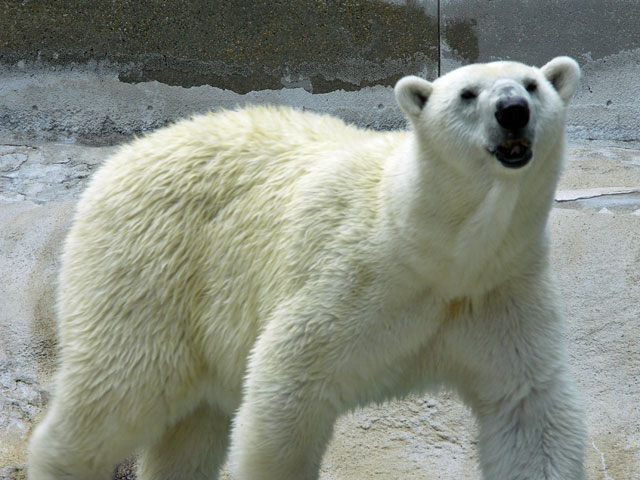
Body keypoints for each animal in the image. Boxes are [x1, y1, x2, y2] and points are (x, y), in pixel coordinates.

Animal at [28, 57, 584, 480]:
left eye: (533, 85)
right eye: (468, 93)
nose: (512, 111)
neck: (437, 249)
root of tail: (121, 158)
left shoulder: (501, 291)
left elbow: (527, 409)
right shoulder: (354, 277)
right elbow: (288, 383)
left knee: (192, 428)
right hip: (151, 269)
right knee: (122, 387)